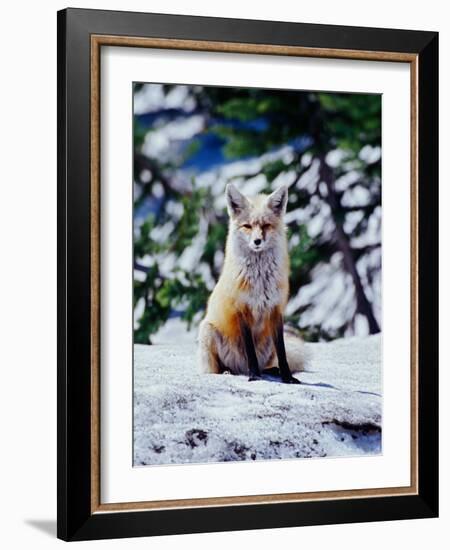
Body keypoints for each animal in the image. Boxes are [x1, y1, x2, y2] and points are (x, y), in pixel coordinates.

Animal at [199, 184, 304, 384]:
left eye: (266, 225)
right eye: (247, 226)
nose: (257, 241)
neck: (260, 280)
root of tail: (240, 368)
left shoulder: (276, 309)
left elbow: (282, 352)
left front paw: (287, 377)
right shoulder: (242, 309)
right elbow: (250, 351)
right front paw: (254, 376)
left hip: (267, 342)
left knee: (268, 364)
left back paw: (272, 371)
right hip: (208, 331)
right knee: (218, 369)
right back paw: (230, 371)